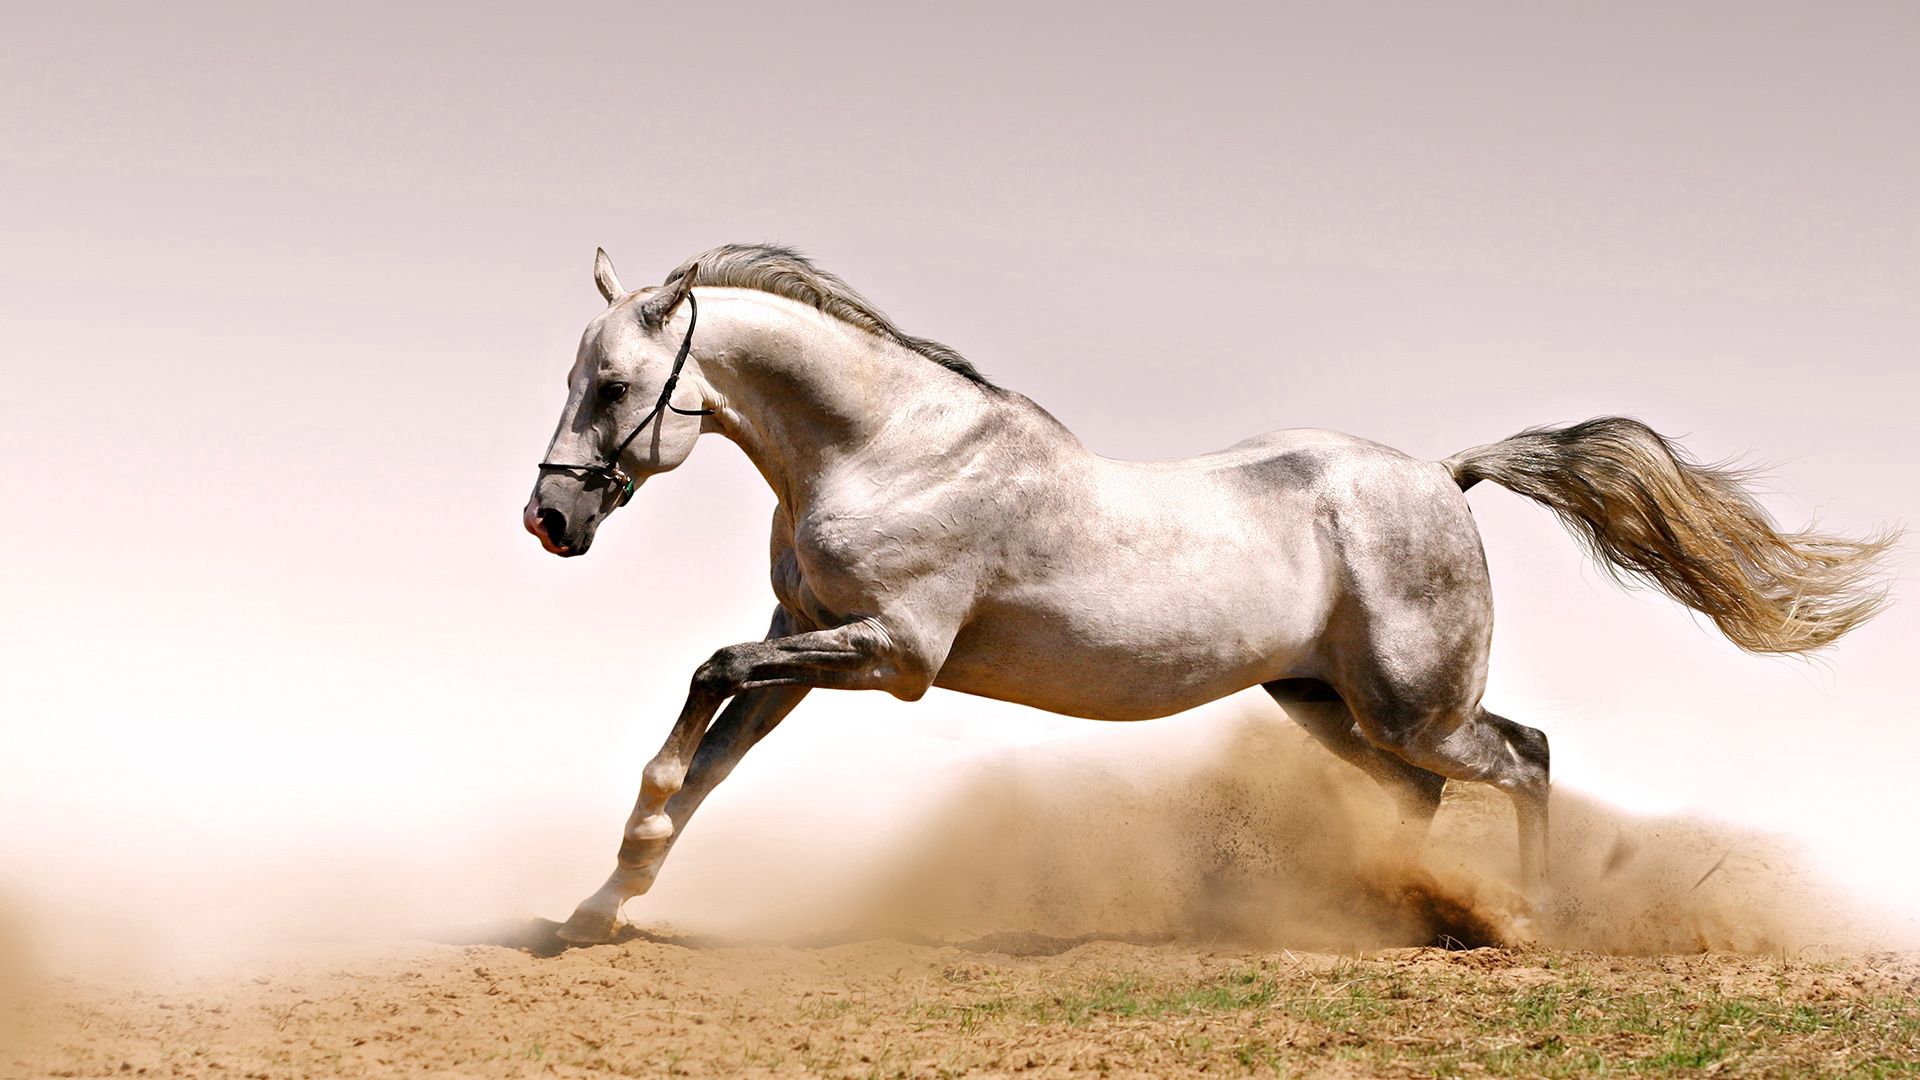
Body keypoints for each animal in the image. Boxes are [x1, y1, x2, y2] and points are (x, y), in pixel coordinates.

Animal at [526, 244, 1889, 941]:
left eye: (613, 386)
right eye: (577, 377)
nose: (551, 519)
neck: (888, 447)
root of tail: (1445, 477)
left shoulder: (891, 654)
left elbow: (704, 683)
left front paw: (614, 876)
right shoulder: (807, 635)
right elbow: (710, 758)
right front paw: (600, 905)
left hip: (1416, 706)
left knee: (1526, 757)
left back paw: (1529, 921)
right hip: (1324, 703)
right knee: (1424, 796)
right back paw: (1390, 913)